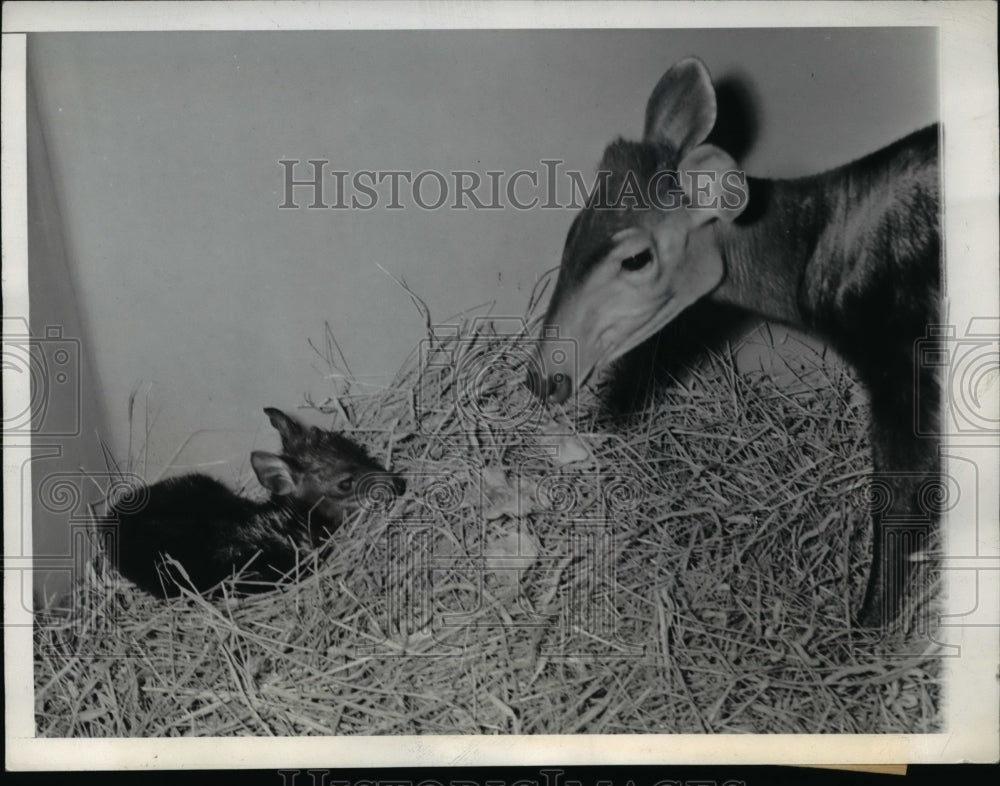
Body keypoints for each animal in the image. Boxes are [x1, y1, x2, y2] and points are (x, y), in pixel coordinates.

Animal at [528, 56, 940, 624]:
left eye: (635, 258)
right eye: (573, 229)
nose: (544, 376)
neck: (806, 247)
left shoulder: (901, 360)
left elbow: (902, 499)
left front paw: (865, 626)